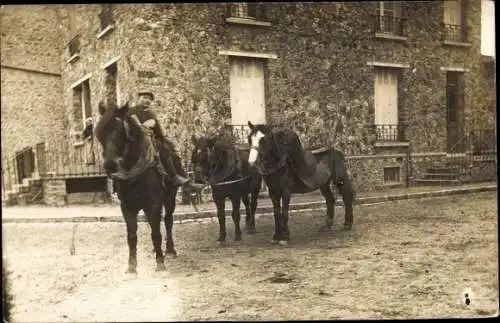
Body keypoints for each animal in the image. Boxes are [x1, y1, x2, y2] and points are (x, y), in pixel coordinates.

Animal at [94, 102, 179, 274]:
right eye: (100, 133)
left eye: (119, 131)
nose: (109, 165)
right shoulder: (127, 207)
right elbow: (132, 236)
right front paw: (132, 267)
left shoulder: (154, 204)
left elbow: (156, 233)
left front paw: (160, 263)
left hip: (170, 198)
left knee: (168, 220)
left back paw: (170, 250)